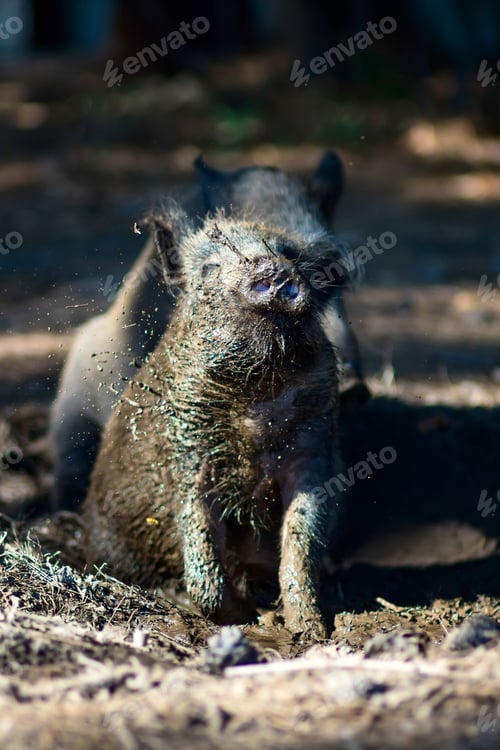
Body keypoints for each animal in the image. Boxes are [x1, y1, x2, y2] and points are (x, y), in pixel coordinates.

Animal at [83, 209, 351, 639]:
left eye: (290, 253)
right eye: (209, 267)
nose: (273, 268)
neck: (256, 401)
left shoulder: (312, 446)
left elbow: (301, 538)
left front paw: (310, 630)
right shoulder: (188, 447)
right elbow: (199, 537)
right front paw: (245, 616)